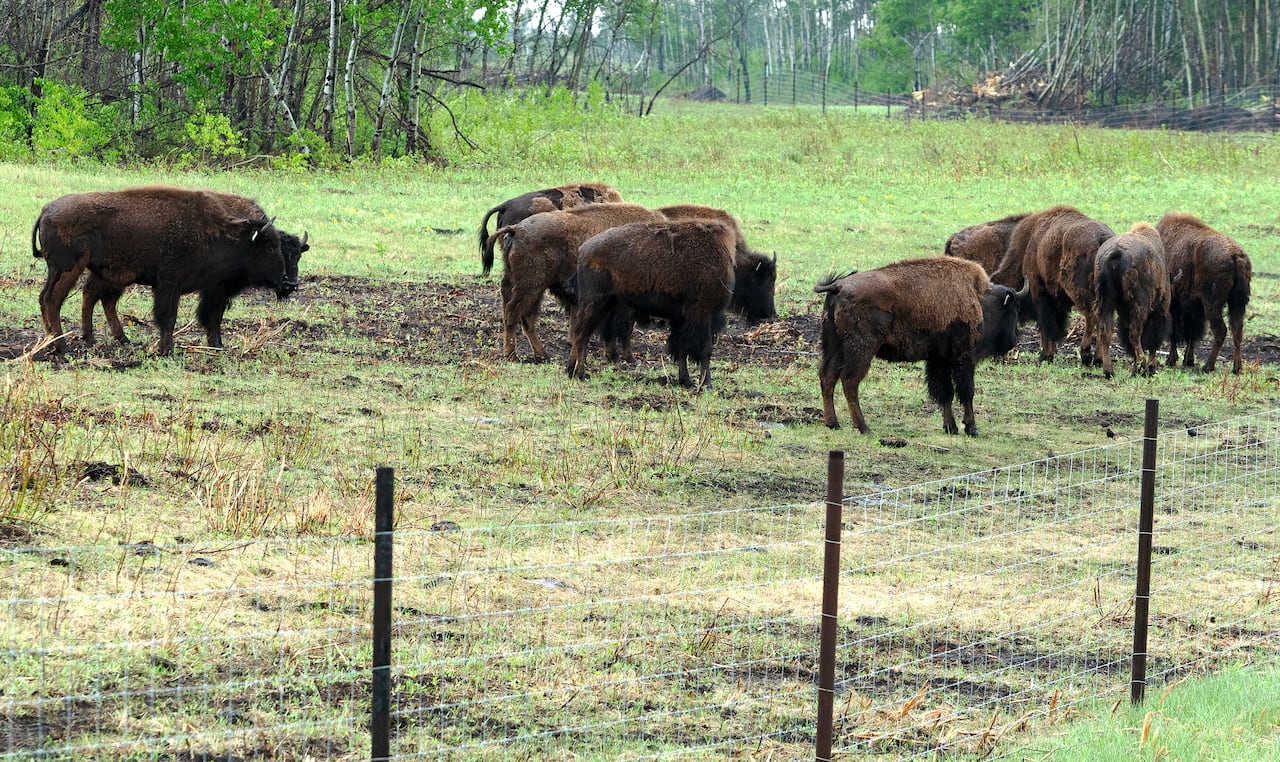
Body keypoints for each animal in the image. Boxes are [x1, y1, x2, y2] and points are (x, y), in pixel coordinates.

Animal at [32, 186, 289, 356]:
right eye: (269, 246)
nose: (286, 281)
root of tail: (46, 210)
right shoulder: (170, 285)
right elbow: (168, 318)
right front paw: (168, 350)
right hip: (68, 269)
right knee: (53, 299)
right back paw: (61, 345)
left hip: (90, 272)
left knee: (73, 298)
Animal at [566, 219, 737, 389]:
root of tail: (583, 250)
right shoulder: (703, 315)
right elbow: (704, 349)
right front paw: (706, 384)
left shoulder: (682, 320)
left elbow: (681, 349)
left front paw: (687, 381)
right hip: (595, 304)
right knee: (581, 336)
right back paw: (580, 374)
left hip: (604, 305)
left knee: (581, 335)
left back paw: (572, 372)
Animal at [815, 256, 1025, 437]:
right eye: (1014, 309)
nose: (1013, 340)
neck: (978, 297)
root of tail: (839, 286)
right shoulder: (963, 357)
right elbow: (966, 392)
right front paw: (971, 429)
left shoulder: (939, 359)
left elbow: (946, 393)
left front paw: (951, 428)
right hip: (862, 349)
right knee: (850, 381)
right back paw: (864, 427)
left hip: (834, 346)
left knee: (828, 376)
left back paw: (833, 423)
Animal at [1093, 223, 1172, 378]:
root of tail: (1116, 252)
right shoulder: (1159, 309)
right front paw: (1150, 366)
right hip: (1139, 305)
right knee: (1134, 333)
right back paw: (1143, 366)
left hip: (1106, 302)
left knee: (1105, 331)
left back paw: (1109, 371)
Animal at [1156, 212, 1253, 374]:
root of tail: (1236, 255)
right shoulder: (1194, 307)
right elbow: (1192, 332)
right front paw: (1188, 360)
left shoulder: (1176, 304)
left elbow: (1177, 331)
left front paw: (1171, 360)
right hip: (1237, 303)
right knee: (1237, 331)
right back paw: (1237, 368)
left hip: (1212, 305)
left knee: (1221, 330)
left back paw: (1208, 366)